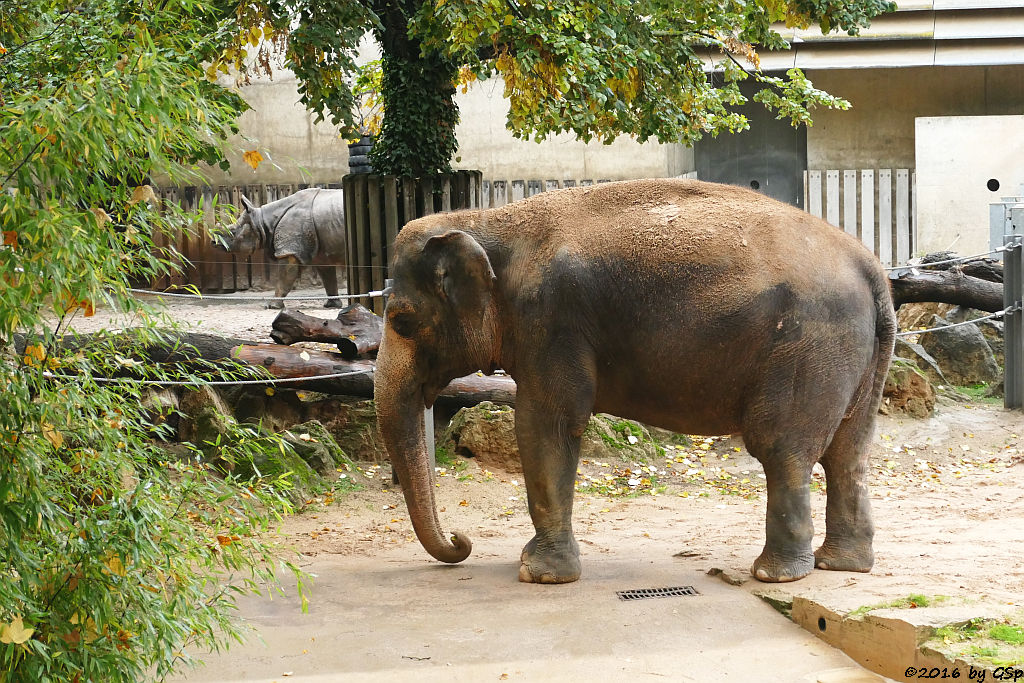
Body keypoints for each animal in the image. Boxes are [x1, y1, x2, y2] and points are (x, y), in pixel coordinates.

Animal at [376, 179, 897, 585]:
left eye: (401, 321)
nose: (460, 540)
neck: (488, 220)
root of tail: (872, 268)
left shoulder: (552, 322)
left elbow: (545, 425)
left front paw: (539, 575)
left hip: (807, 346)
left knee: (782, 449)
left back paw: (776, 574)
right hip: (860, 357)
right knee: (849, 452)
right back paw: (841, 565)